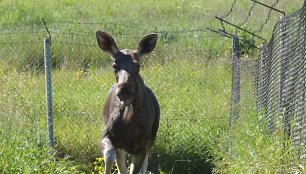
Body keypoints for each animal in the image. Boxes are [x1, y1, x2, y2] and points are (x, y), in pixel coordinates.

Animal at [96, 31, 160, 174]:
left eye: (138, 66)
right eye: (114, 65)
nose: (124, 91)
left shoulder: (141, 147)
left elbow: (135, 168)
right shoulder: (107, 135)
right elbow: (110, 155)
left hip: (151, 138)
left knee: (144, 165)